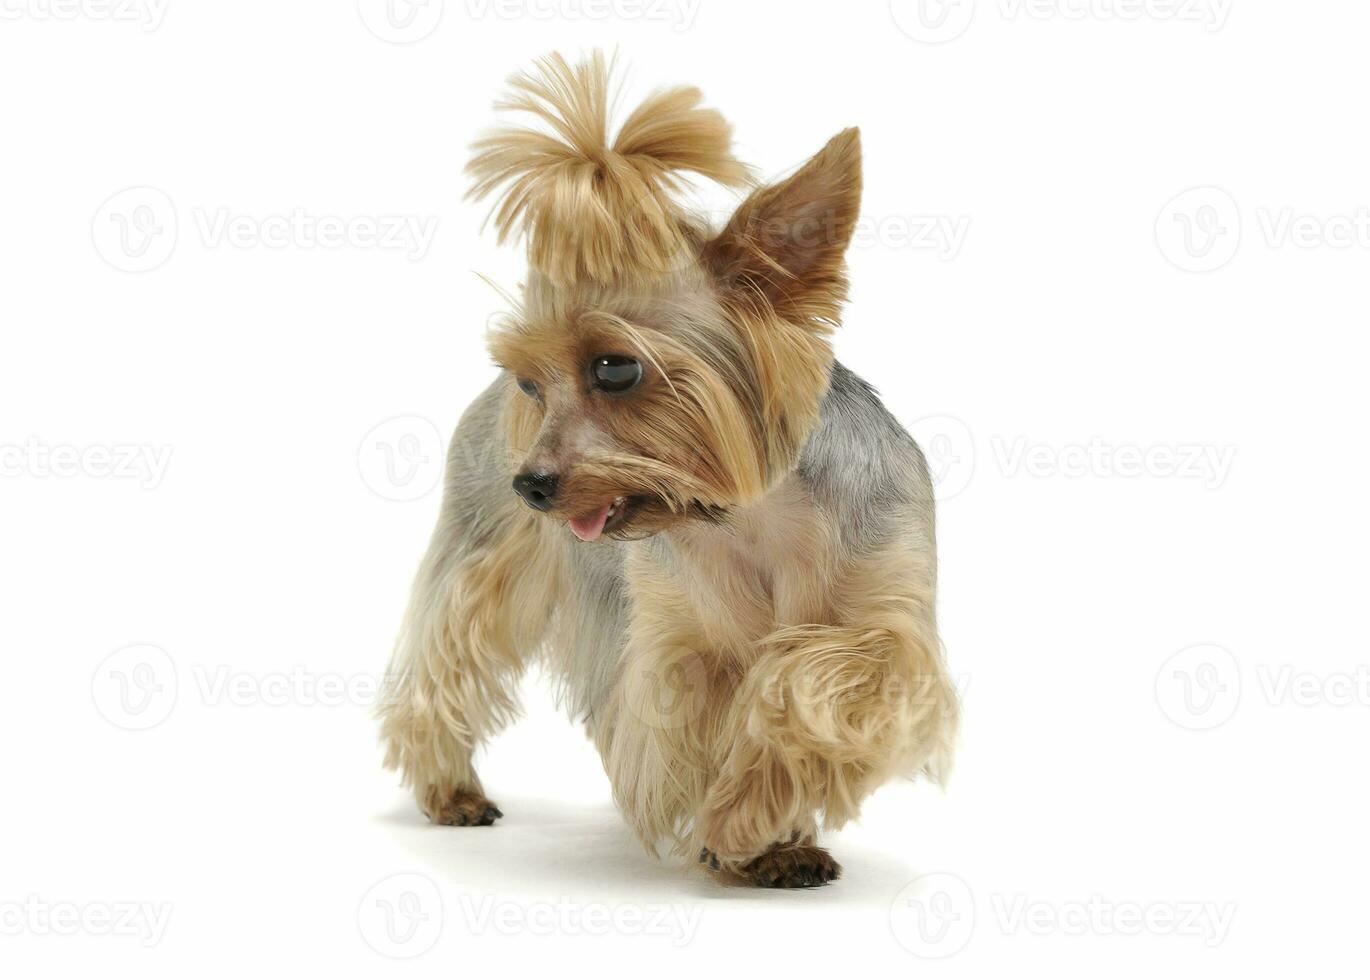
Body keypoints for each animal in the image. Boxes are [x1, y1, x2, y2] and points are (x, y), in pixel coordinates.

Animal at [375, 51, 953, 888]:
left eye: (616, 368)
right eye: (531, 383)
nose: (531, 485)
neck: (754, 517)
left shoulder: (888, 622)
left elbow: (811, 680)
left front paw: (761, 826)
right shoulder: (680, 643)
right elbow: (706, 711)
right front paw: (746, 832)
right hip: (480, 556)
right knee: (442, 660)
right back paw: (450, 790)